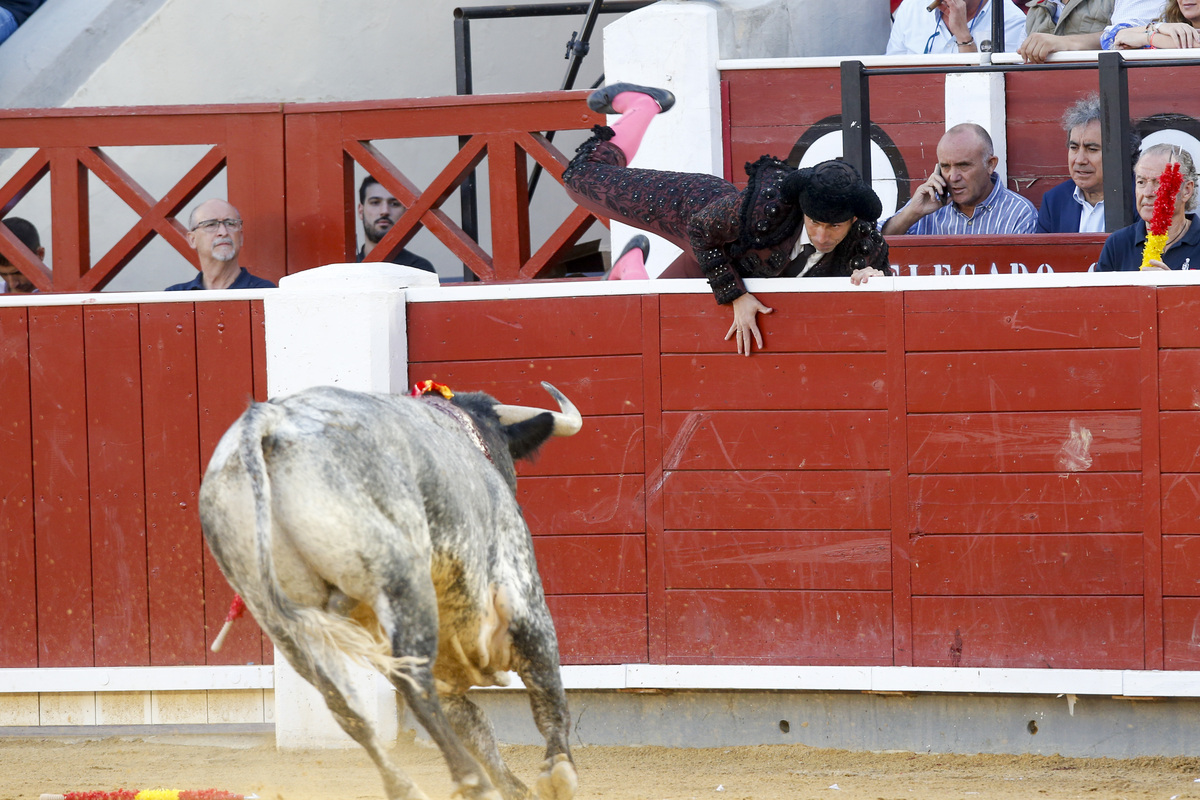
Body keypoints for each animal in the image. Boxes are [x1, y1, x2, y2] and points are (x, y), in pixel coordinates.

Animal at [199, 381, 583, 800]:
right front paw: (558, 773)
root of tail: (268, 421)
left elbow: (475, 723)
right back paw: (471, 781)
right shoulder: (522, 595)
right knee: (414, 682)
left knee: (343, 705)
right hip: (403, 582)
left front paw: (517, 788)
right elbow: (547, 686)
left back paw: (406, 787)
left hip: (277, 618)